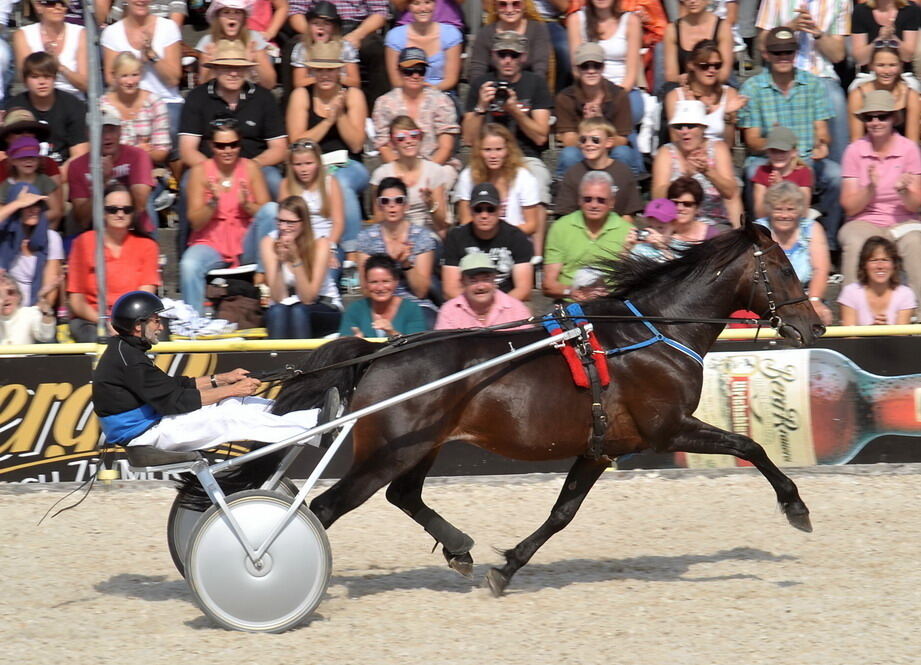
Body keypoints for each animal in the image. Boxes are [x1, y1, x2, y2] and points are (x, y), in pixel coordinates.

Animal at [192, 220, 820, 592]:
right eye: (786, 268)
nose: (815, 326)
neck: (653, 335)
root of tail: (383, 349)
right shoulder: (668, 429)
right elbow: (750, 444)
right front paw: (796, 507)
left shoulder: (600, 448)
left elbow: (563, 513)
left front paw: (506, 566)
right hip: (388, 453)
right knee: (323, 510)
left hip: (419, 446)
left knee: (403, 496)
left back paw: (459, 548)